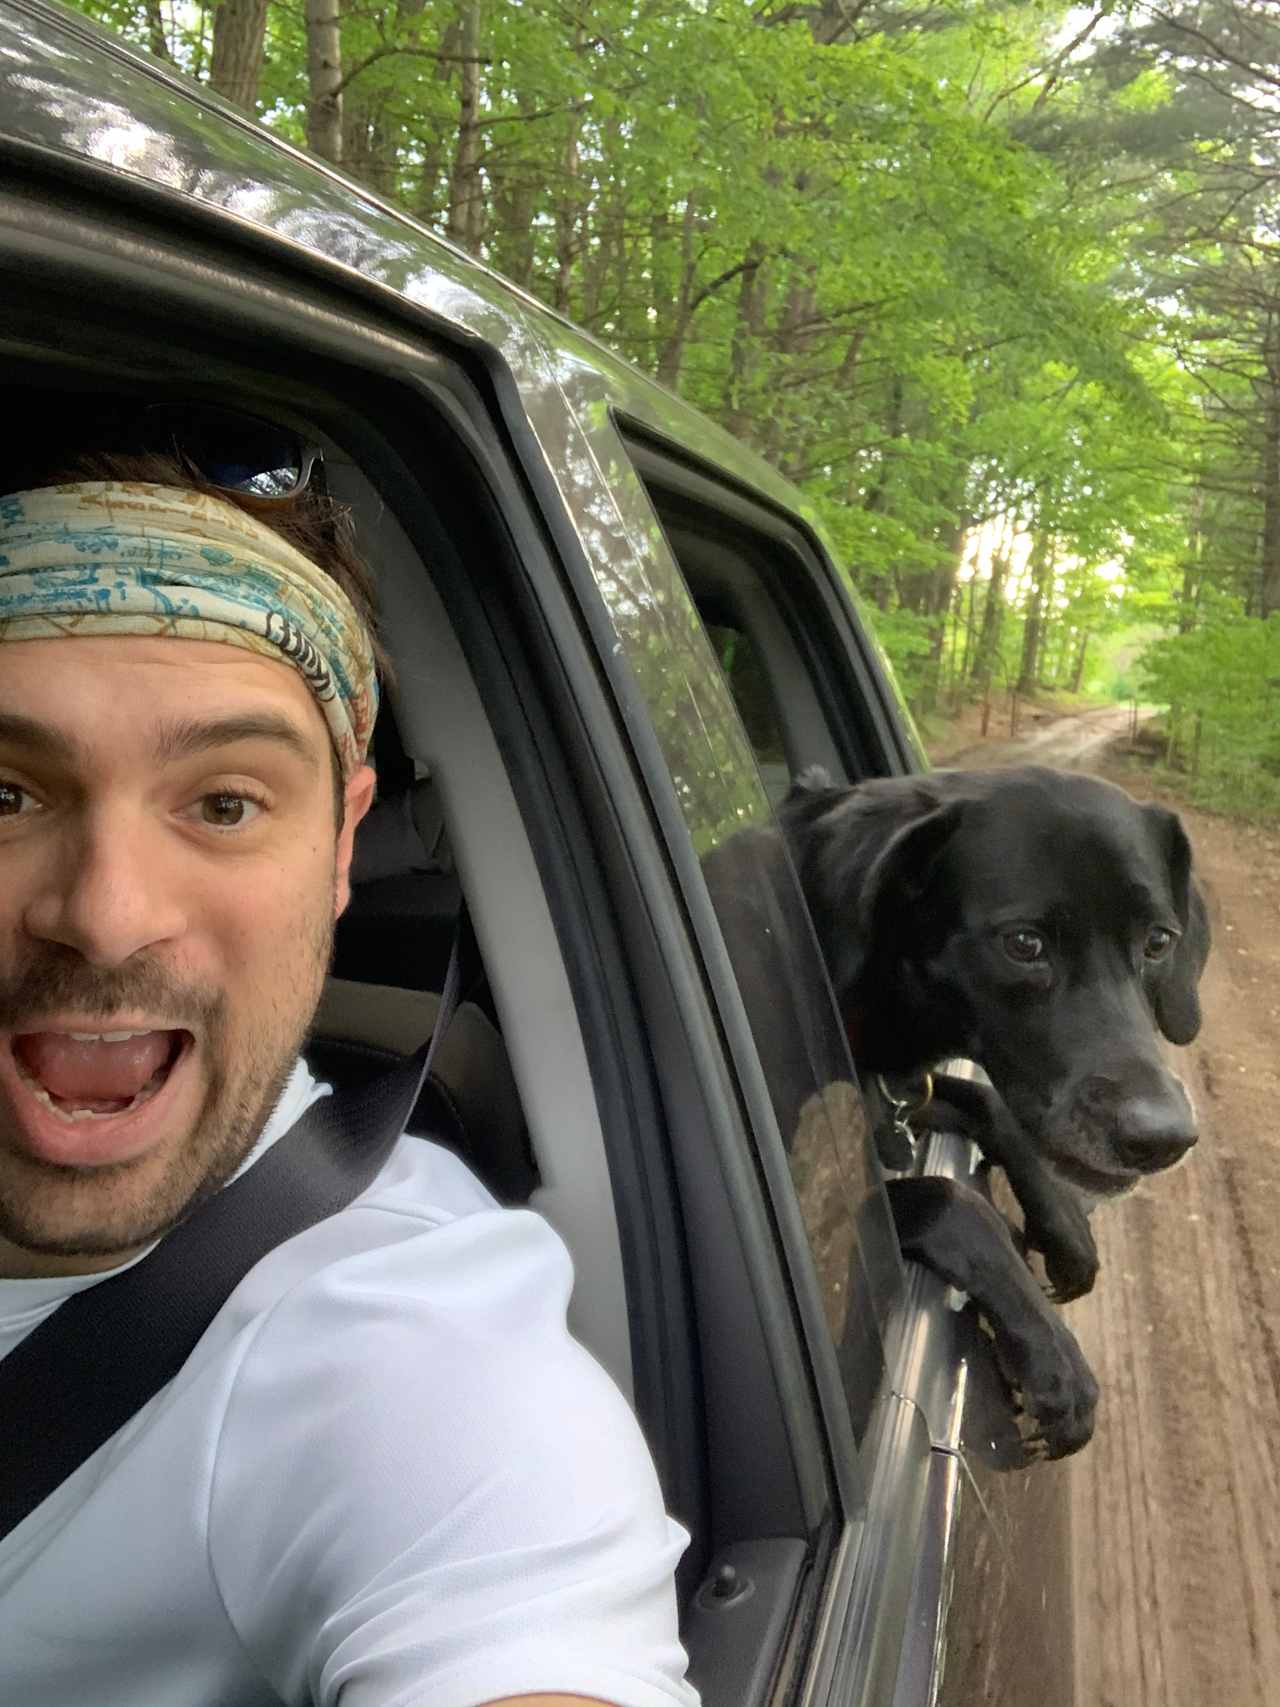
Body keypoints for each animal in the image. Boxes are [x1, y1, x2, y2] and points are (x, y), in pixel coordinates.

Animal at [781, 768, 1215, 1461]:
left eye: (1157, 941)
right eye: (1024, 944)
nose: (1165, 1138)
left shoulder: (912, 1088)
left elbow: (986, 1103)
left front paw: (1064, 1226)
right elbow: (950, 1198)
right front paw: (1056, 1360)